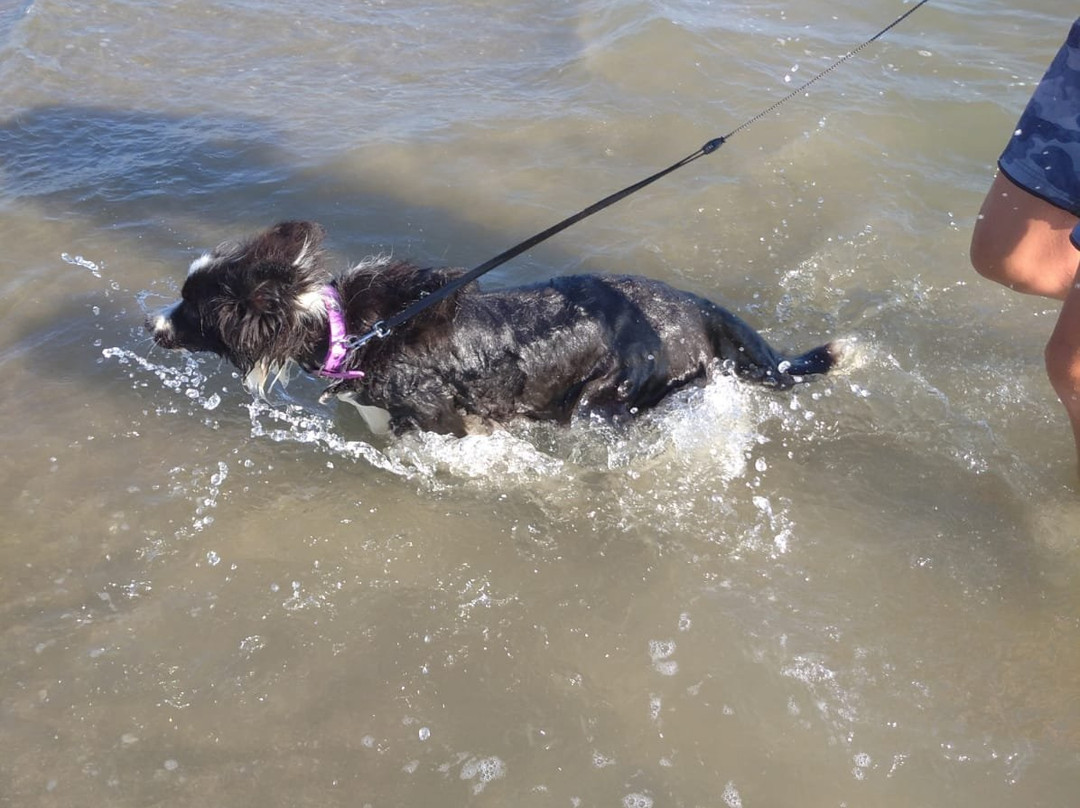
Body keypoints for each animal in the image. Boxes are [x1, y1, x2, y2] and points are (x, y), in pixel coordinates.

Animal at [145, 221, 833, 436]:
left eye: (192, 307)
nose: (152, 327)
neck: (348, 329)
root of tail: (696, 307)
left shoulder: (441, 417)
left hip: (609, 397)